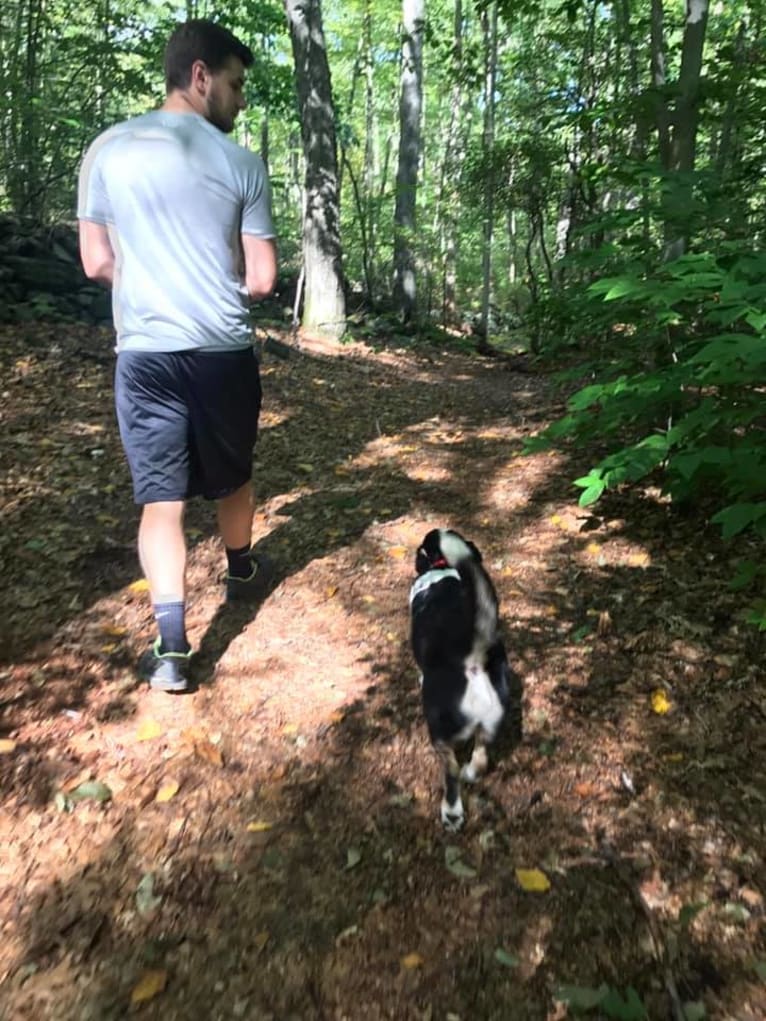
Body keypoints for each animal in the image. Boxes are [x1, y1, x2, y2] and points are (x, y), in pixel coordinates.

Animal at [410, 526, 512, 829]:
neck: (441, 567)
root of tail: (473, 659)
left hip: (440, 731)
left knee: (452, 771)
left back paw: (452, 812)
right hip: (491, 724)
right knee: (480, 759)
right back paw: (471, 773)